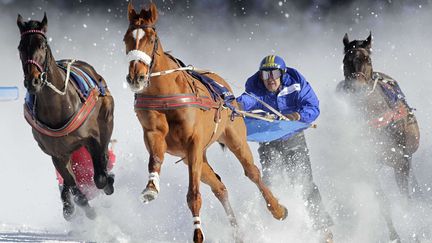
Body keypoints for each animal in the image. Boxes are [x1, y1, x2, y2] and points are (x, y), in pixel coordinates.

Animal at [16, 14, 115, 221]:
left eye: (42, 45)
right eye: (21, 47)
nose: (32, 81)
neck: (58, 106)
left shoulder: (92, 139)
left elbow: (100, 178)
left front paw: (107, 181)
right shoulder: (58, 154)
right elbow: (73, 187)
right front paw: (84, 210)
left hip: (106, 118)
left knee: (103, 157)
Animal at [123, 2, 288, 242]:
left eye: (151, 39)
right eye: (126, 38)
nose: (136, 77)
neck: (167, 94)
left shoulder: (193, 144)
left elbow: (193, 196)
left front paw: (198, 233)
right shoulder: (156, 135)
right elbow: (155, 159)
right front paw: (151, 187)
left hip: (234, 138)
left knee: (252, 172)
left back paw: (277, 209)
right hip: (196, 157)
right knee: (220, 187)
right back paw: (237, 232)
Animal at [336, 32, 420, 243]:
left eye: (367, 59)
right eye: (345, 61)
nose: (356, 88)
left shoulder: (402, 160)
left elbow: (406, 199)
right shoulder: (368, 163)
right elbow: (382, 201)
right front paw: (395, 235)